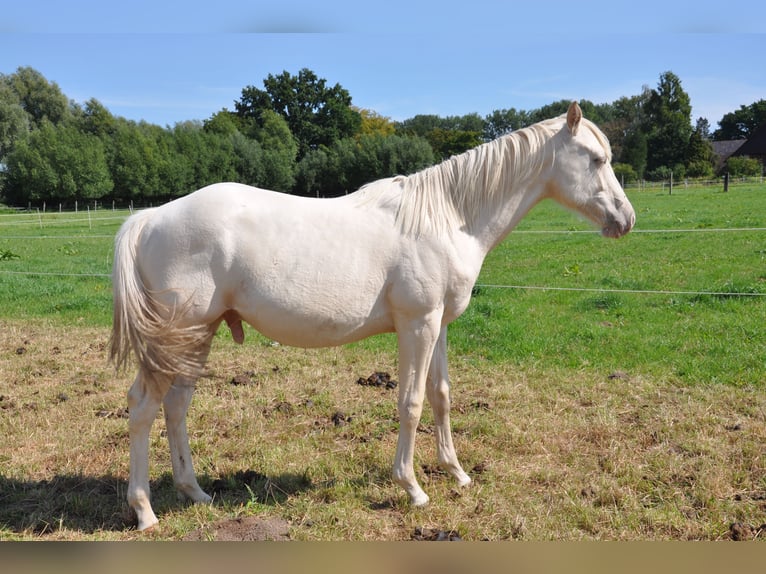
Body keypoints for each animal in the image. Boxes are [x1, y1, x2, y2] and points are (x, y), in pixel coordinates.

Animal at [110, 101, 635, 531]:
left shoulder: (439, 325)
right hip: (177, 335)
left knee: (176, 406)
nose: (625, 219)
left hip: (198, 334)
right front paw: (413, 487)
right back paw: (145, 511)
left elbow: (442, 396)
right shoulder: (417, 325)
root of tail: (151, 217)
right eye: (596, 159)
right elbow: (411, 402)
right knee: (143, 407)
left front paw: (457, 473)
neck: (449, 217)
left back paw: (195, 492)